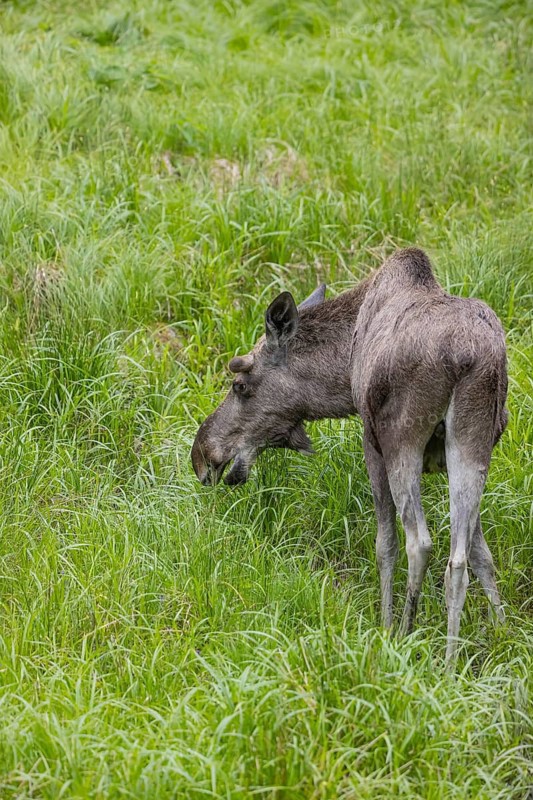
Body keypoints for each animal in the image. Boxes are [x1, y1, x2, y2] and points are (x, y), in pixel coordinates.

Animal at [191, 248, 508, 664]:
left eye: (240, 385)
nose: (201, 454)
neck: (343, 369)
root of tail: (467, 357)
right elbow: (481, 554)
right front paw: (505, 632)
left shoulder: (371, 443)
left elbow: (385, 545)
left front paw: (386, 626)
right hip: (472, 441)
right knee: (458, 561)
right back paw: (450, 664)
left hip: (401, 441)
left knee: (419, 542)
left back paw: (405, 634)